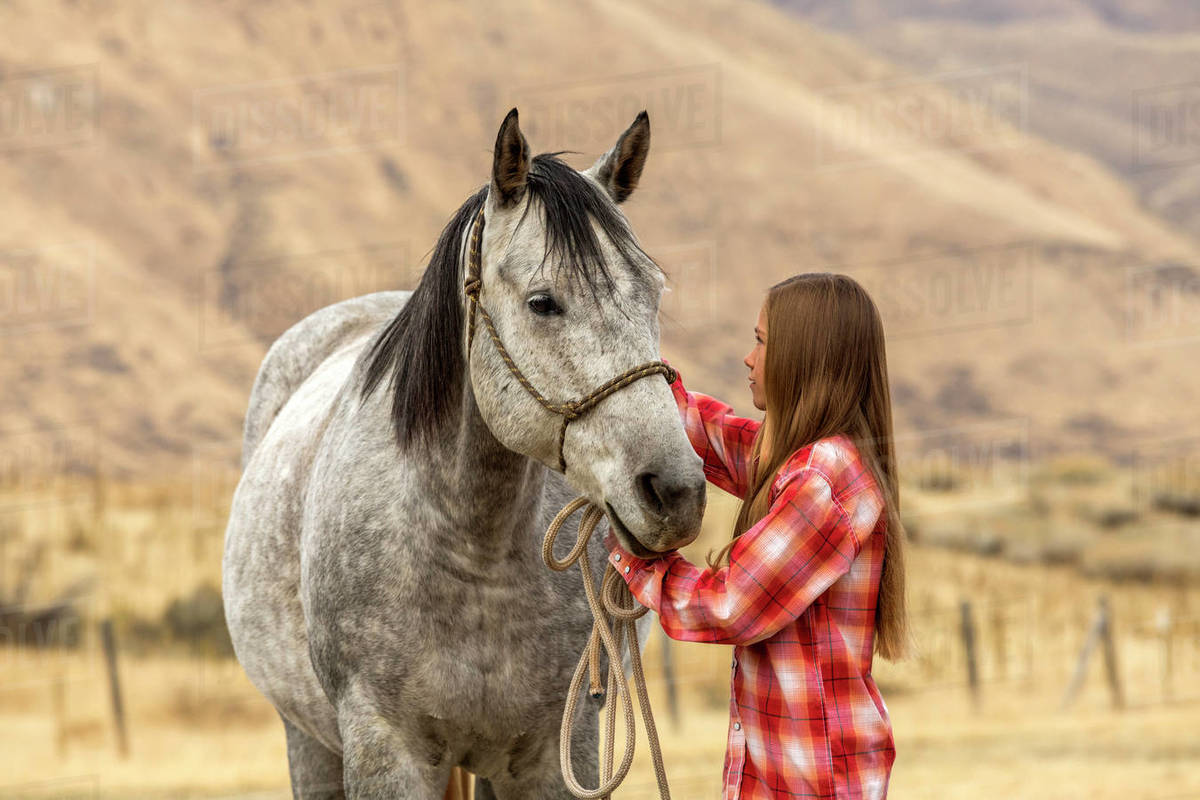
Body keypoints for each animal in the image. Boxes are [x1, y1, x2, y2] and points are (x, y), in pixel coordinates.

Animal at [222, 108, 707, 799]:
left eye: (654, 293)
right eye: (542, 302)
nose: (673, 490)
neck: (472, 550)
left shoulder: (559, 756)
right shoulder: (383, 751)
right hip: (308, 743)